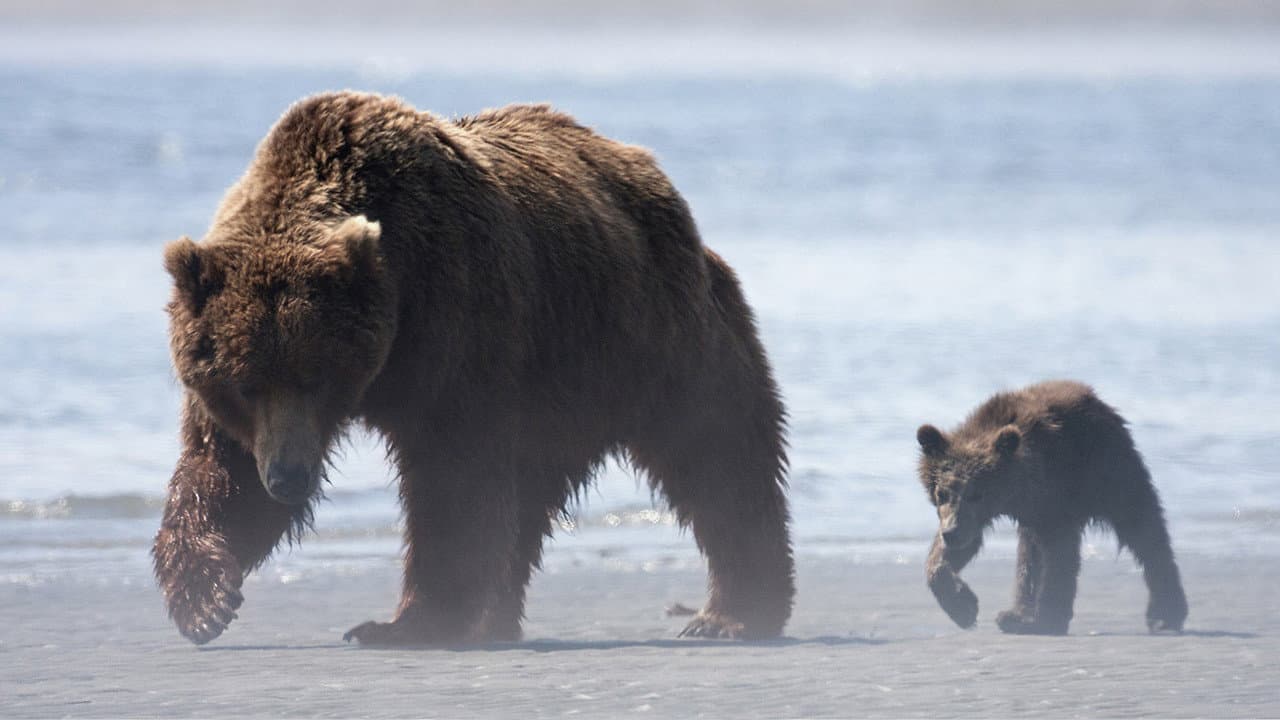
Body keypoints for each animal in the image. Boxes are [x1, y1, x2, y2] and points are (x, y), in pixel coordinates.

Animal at [152, 91, 795, 646]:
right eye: (244, 385)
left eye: (317, 377)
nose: (287, 477)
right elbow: (220, 467)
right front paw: (205, 598)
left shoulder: (454, 320)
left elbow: (450, 474)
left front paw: (404, 623)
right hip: (556, 393)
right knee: (529, 496)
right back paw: (494, 620)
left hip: (649, 341)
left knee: (716, 456)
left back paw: (734, 613)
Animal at [915, 380, 1188, 635]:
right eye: (941, 493)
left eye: (976, 494)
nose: (951, 532)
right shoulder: (990, 514)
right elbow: (955, 551)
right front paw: (963, 607)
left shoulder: (1054, 496)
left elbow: (1058, 555)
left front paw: (1047, 619)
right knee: (1029, 551)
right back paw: (1016, 614)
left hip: (1110, 471)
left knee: (1144, 529)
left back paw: (1166, 614)